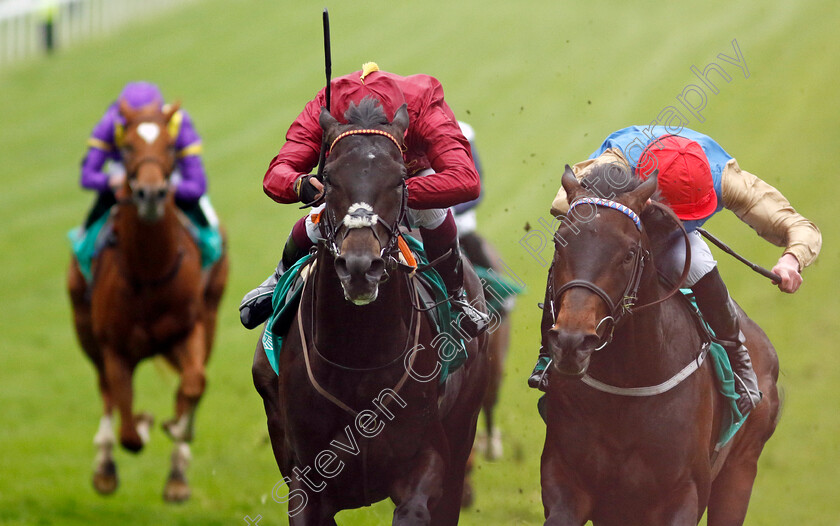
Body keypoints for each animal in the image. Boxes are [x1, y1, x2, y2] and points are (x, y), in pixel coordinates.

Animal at [67, 98, 230, 504]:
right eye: (126, 148)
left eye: (171, 147)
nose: (152, 194)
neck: (149, 272)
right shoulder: (115, 348)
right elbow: (128, 428)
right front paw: (141, 425)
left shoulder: (189, 329)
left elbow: (194, 384)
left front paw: (177, 433)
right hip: (84, 326)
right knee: (105, 392)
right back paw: (105, 465)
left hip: (212, 313)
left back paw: (177, 469)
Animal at [253, 98, 492, 524]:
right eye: (329, 178)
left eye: (399, 179)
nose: (360, 266)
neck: (358, 354)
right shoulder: (305, 481)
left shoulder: (427, 462)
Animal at [540, 167, 780, 524]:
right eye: (559, 244)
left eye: (628, 254)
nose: (573, 341)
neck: (627, 383)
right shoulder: (566, 481)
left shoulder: (684, 494)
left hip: (740, 469)